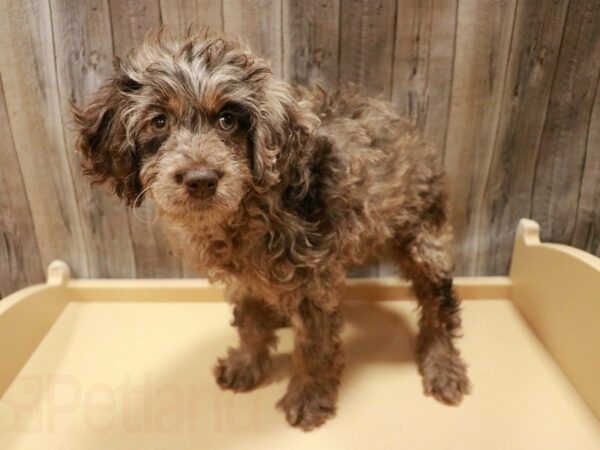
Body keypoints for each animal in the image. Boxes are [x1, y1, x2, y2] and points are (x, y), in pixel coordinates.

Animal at [74, 29, 468, 430]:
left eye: (228, 119)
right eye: (158, 121)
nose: (201, 179)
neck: (249, 211)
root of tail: (404, 122)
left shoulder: (315, 282)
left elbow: (314, 346)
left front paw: (309, 398)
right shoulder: (244, 280)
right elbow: (250, 324)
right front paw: (246, 365)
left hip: (425, 240)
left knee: (440, 306)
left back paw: (442, 365)